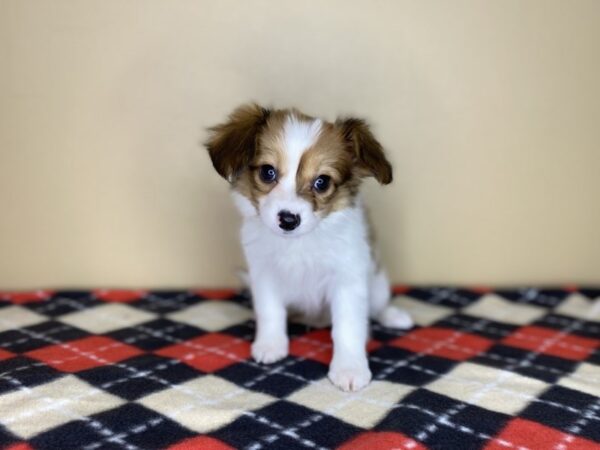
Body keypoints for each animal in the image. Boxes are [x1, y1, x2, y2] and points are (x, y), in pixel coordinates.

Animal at [206, 103, 412, 390]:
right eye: (267, 172)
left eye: (322, 182)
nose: (288, 219)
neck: (298, 244)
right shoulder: (264, 274)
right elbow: (270, 312)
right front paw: (271, 345)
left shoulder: (348, 279)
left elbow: (348, 327)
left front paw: (349, 368)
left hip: (378, 284)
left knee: (378, 306)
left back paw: (394, 316)